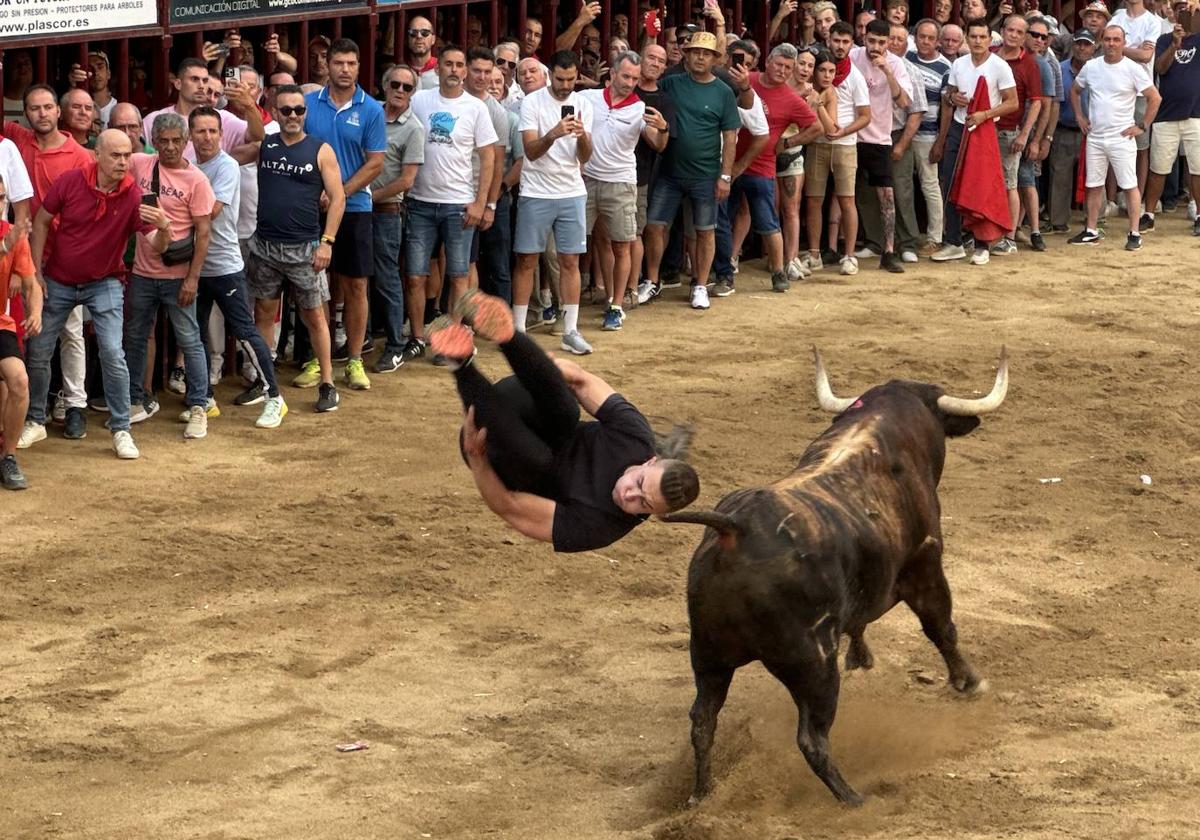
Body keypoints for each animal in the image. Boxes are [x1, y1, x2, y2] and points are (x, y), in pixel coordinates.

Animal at [662, 348, 1008, 806]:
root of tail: (735, 529)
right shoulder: (926, 566)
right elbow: (941, 628)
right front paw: (969, 682)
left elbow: (860, 624)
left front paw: (861, 659)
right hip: (813, 666)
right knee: (811, 738)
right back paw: (854, 799)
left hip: (708, 655)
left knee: (703, 722)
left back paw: (700, 796)